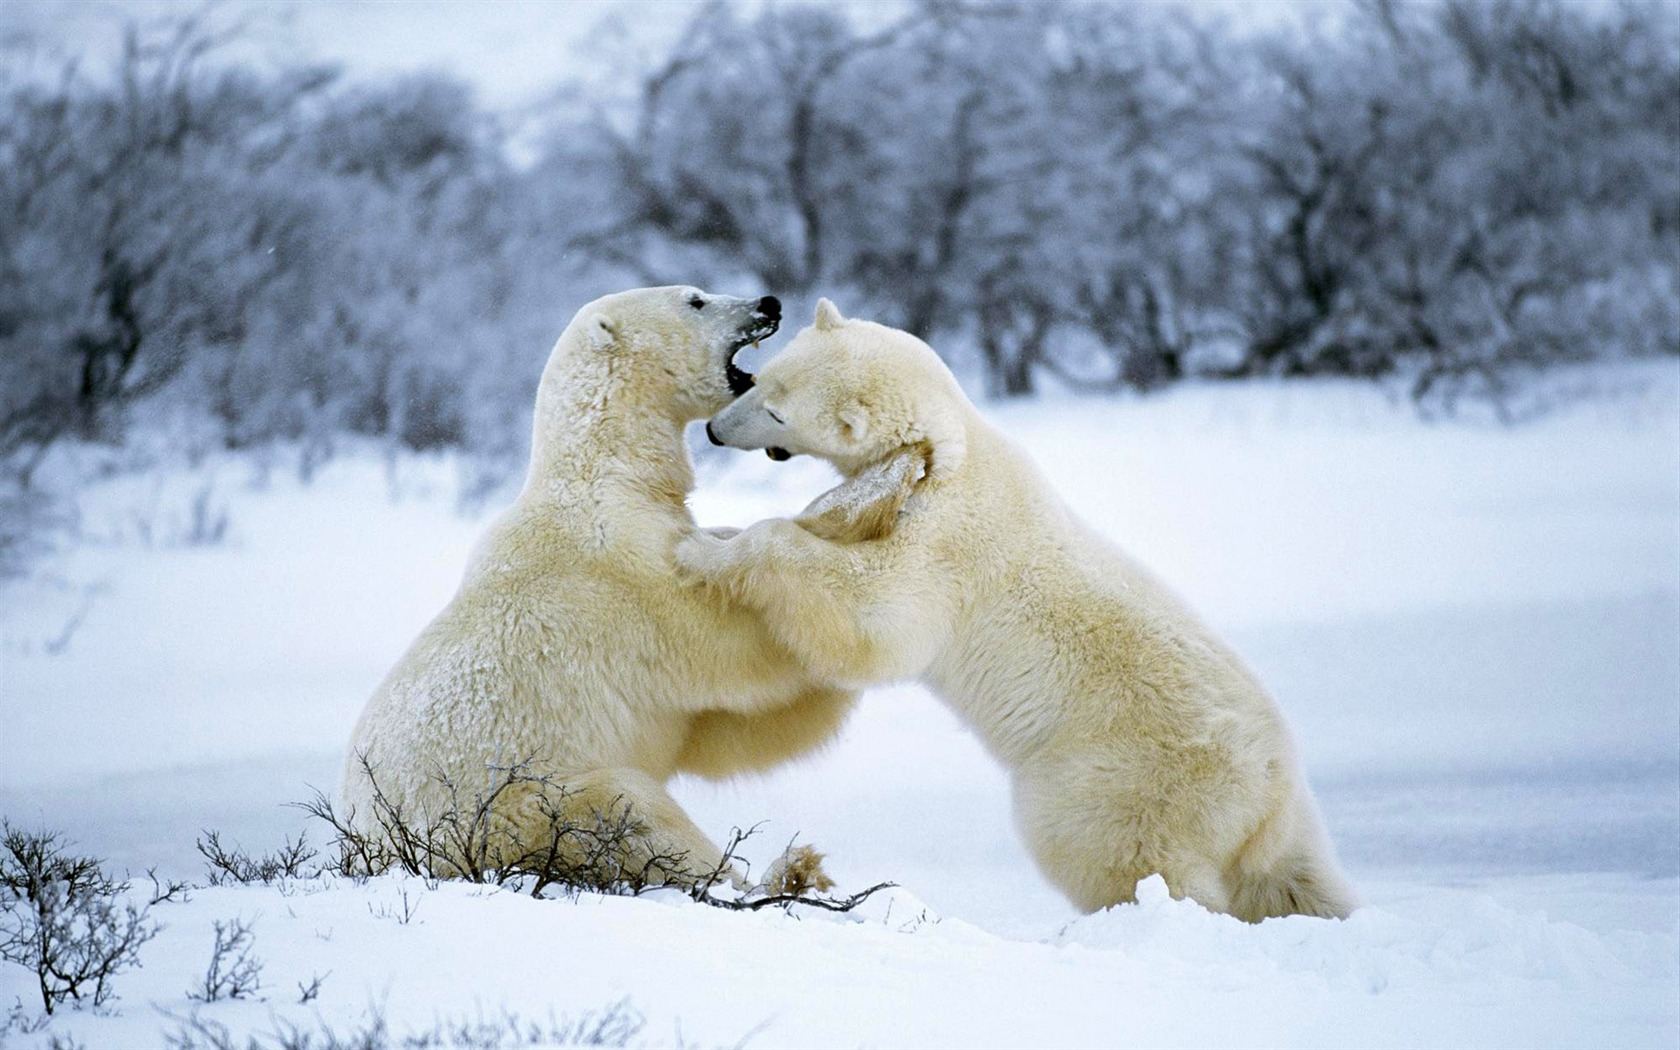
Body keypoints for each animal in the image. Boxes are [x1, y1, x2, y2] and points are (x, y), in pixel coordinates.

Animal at [344, 287, 866, 887]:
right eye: (696, 299)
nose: (769, 302)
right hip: (511, 811)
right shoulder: (623, 579)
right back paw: (772, 873)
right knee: (628, 808)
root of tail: (371, 849)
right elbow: (733, 649)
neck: (607, 477)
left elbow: (721, 732)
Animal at [675, 297, 1357, 913]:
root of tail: (1271, 791)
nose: (714, 429)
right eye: (762, 377)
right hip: (1268, 822)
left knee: (1113, 851)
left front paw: (701, 551)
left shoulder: (947, 545)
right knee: (1293, 879)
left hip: (1122, 775)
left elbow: (877, 618)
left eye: (776, 411)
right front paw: (717, 533)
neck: (953, 449)